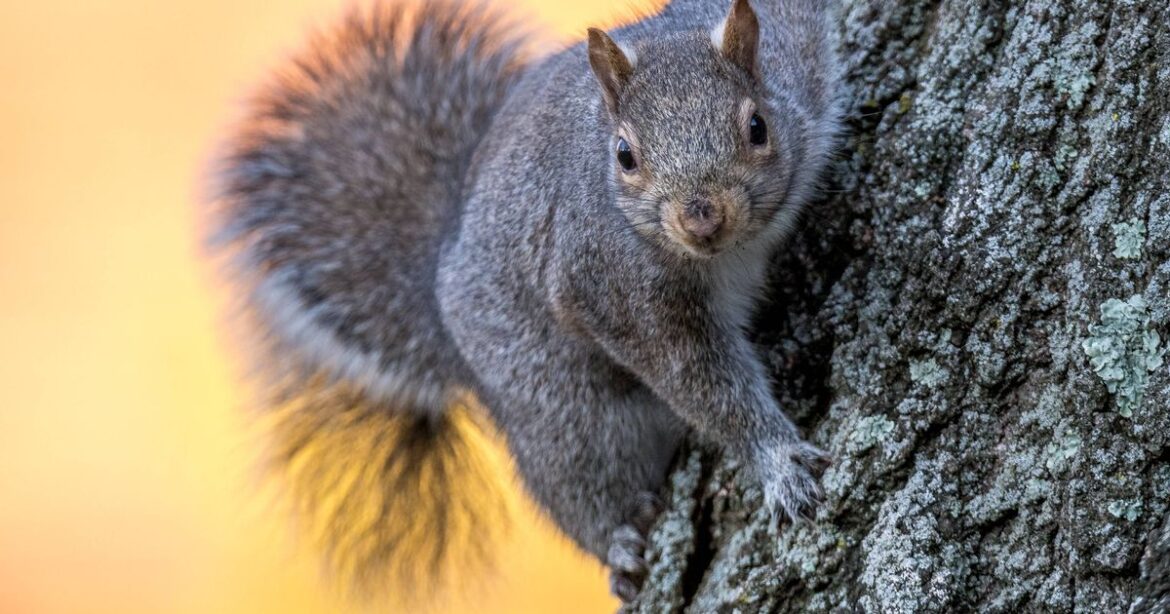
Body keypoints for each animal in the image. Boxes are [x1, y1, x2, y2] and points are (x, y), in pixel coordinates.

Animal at [207, 0, 842, 604]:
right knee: (572, 476)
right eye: (625, 156)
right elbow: (705, 386)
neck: (732, 251)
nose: (702, 218)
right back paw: (617, 544)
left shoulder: (798, 46)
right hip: (556, 405)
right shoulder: (615, 286)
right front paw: (780, 464)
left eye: (757, 126)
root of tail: (441, 288)